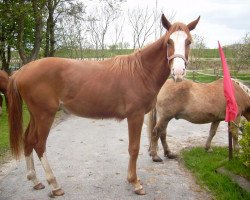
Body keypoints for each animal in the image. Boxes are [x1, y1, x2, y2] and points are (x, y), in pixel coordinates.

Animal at [7, 14, 199, 197]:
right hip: (45, 115)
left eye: (188, 42)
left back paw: (35, 180)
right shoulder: (135, 116)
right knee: (39, 144)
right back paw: (54, 185)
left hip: (35, 115)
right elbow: (134, 148)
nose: (179, 72)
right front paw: (135, 183)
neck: (141, 71)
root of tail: (21, 71)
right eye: (169, 41)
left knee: (28, 140)